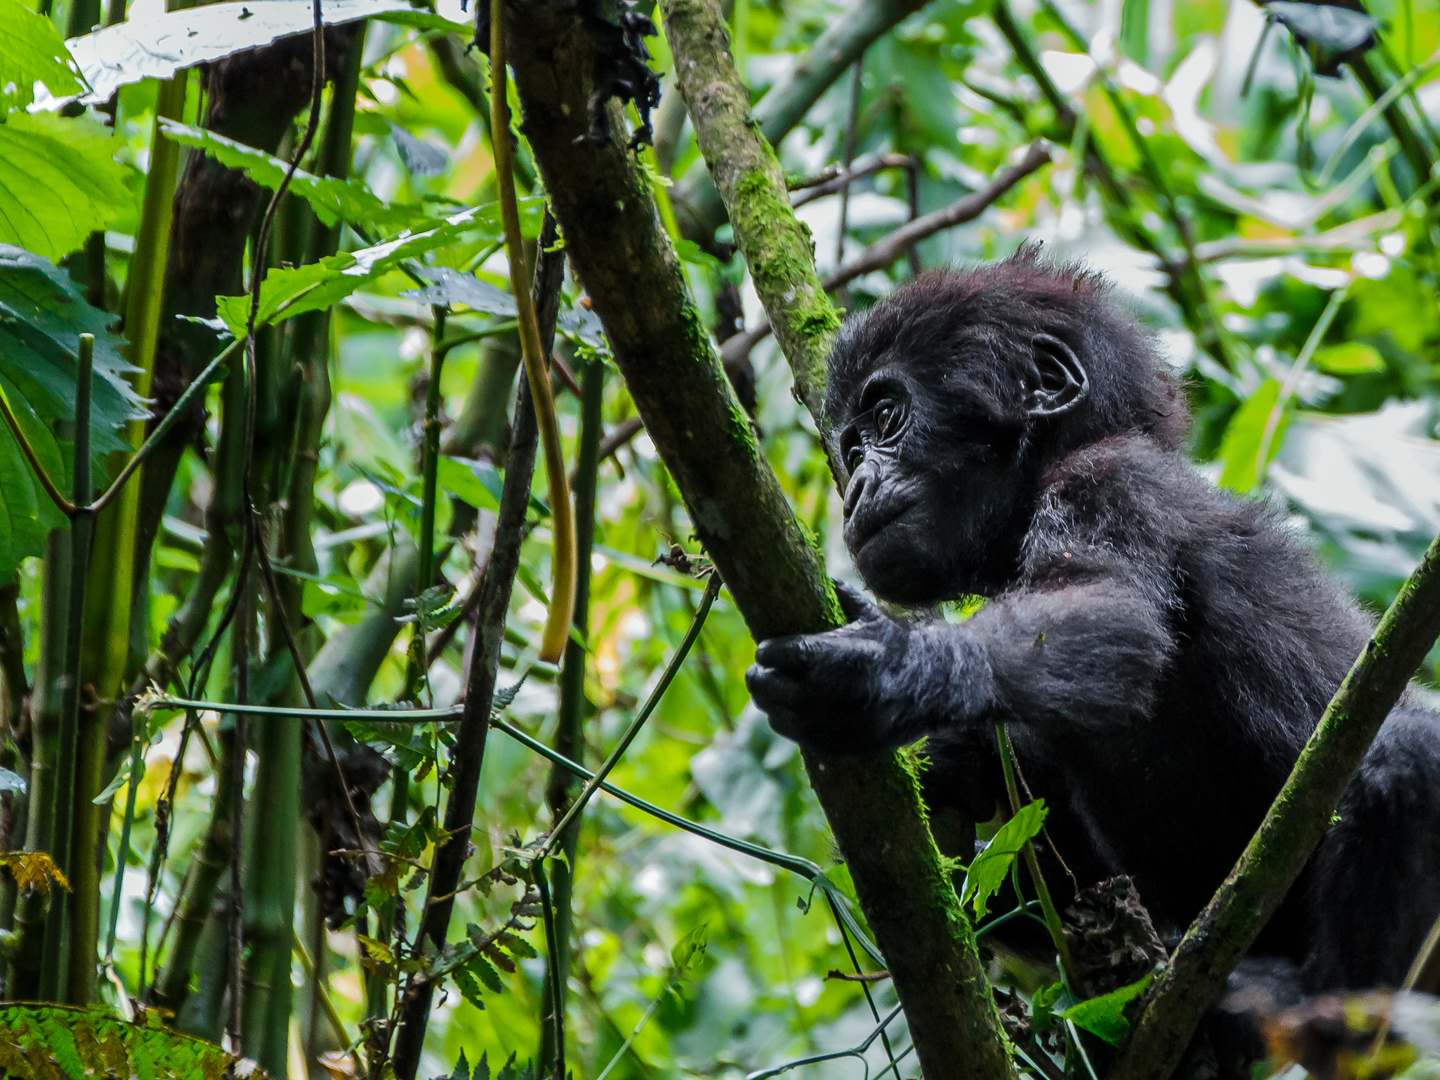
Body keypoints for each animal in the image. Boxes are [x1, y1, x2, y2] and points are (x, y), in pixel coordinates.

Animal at [748, 249, 1440, 996]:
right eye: (850, 447)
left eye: (886, 417)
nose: (854, 490)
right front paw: (943, 747)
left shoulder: (1106, 481)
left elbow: (1110, 617)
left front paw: (885, 672)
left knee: (1407, 750)